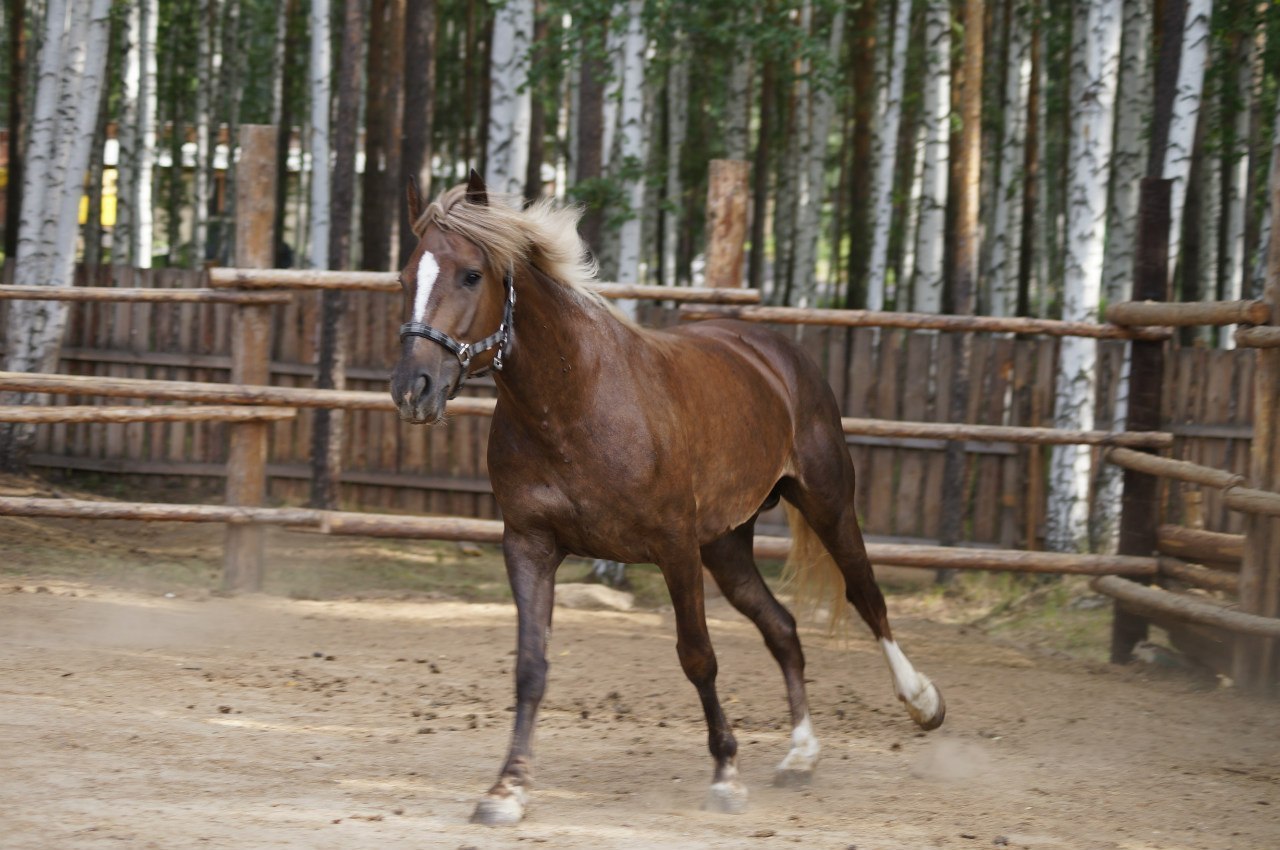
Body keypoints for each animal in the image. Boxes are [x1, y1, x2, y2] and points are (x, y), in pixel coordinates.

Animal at [384, 168, 947, 824]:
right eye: (404, 278)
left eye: (472, 274)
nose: (413, 390)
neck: (573, 403)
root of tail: (775, 352)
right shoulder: (529, 545)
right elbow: (530, 666)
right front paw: (507, 790)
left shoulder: (674, 547)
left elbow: (697, 655)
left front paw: (726, 775)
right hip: (727, 546)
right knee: (782, 628)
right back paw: (800, 755)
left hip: (827, 504)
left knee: (866, 595)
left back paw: (922, 701)